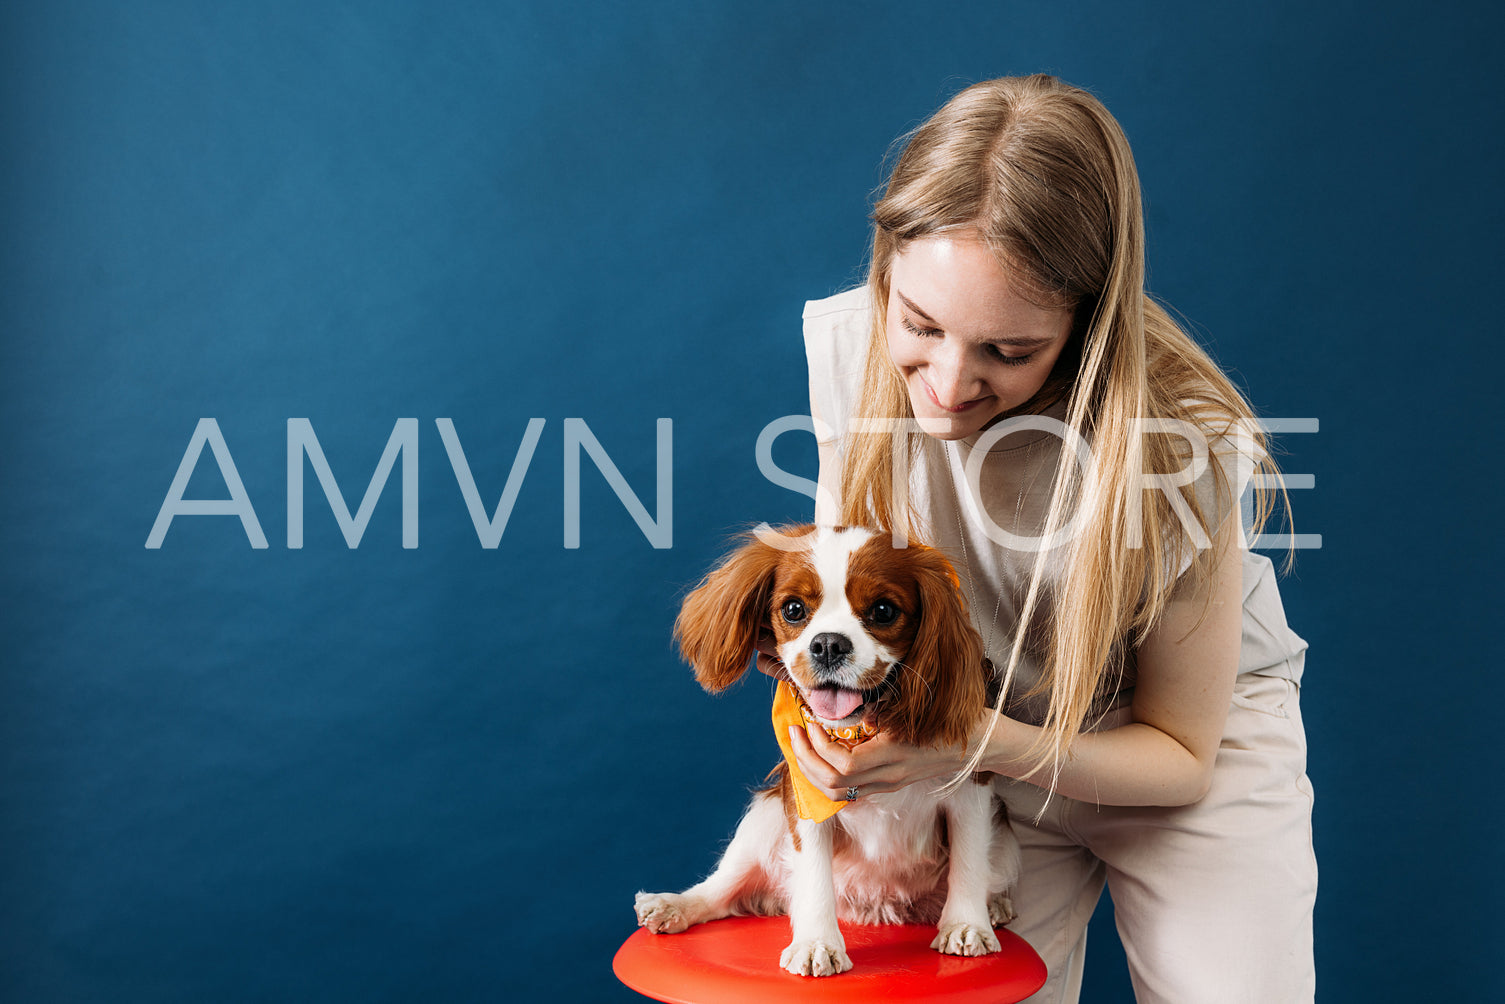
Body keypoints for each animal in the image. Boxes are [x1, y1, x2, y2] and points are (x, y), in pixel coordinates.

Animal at [629, 523, 1017, 975]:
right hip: (764, 815)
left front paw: (966, 925)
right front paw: (817, 942)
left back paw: (995, 905)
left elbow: (969, 861)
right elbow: (813, 873)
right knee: (724, 888)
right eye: (794, 609)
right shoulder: (806, 794)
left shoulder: (971, 790)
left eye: (883, 611)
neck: (860, 727)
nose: (829, 644)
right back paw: (676, 905)